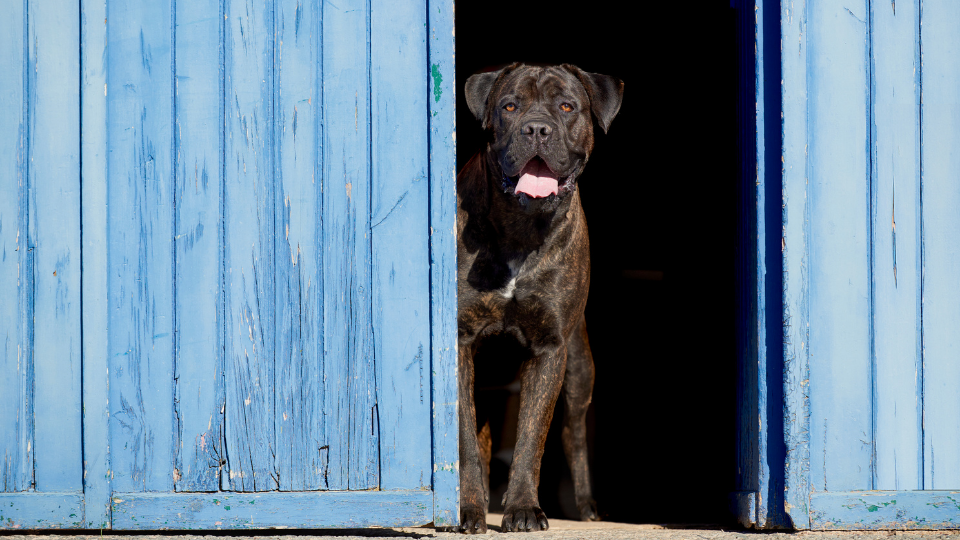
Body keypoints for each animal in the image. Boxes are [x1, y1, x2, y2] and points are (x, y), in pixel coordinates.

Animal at [456, 62, 624, 532]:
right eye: (510, 106)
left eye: (566, 106)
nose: (536, 128)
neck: (521, 228)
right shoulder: (460, 343)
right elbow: (465, 439)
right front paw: (470, 508)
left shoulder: (550, 348)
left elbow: (532, 439)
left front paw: (523, 509)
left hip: (579, 369)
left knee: (573, 435)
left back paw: (587, 508)